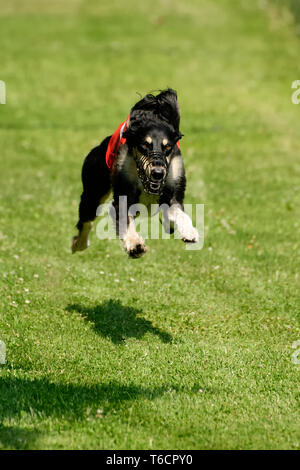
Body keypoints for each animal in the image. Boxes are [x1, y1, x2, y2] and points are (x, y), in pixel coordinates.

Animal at [71, 88, 198, 258]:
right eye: (145, 145)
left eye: (167, 147)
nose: (158, 173)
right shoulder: (124, 193)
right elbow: (125, 220)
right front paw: (134, 244)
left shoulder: (173, 190)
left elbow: (178, 212)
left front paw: (189, 232)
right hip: (93, 191)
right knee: (86, 221)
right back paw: (79, 244)